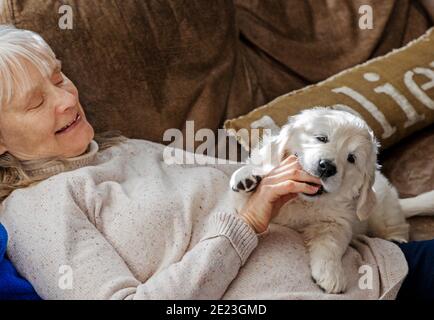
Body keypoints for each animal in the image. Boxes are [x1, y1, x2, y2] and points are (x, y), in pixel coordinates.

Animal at [231, 109, 434, 294]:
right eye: (322, 138)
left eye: (351, 158)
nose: (327, 167)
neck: (306, 201)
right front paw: (248, 175)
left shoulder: (336, 223)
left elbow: (329, 245)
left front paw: (331, 275)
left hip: (381, 209)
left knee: (397, 224)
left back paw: (395, 238)